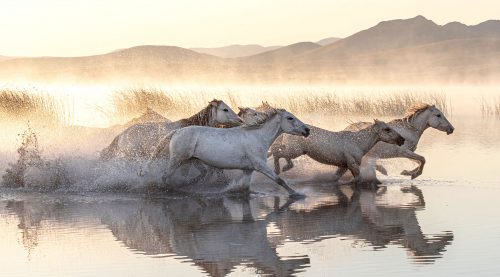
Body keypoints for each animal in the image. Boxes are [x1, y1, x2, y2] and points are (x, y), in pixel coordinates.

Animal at [164, 105, 310, 196]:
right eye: (290, 118)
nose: (307, 130)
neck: (257, 137)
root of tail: (176, 132)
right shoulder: (260, 165)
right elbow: (280, 180)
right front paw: (297, 194)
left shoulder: (248, 169)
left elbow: (244, 188)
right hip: (177, 160)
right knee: (166, 177)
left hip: (191, 161)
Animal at [270, 118, 406, 183]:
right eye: (387, 129)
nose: (402, 139)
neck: (358, 142)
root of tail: (286, 131)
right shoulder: (352, 164)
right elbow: (358, 178)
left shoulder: (344, 166)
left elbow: (335, 178)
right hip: (295, 151)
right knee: (277, 153)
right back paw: (279, 169)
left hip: (293, 150)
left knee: (277, 151)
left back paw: (285, 167)